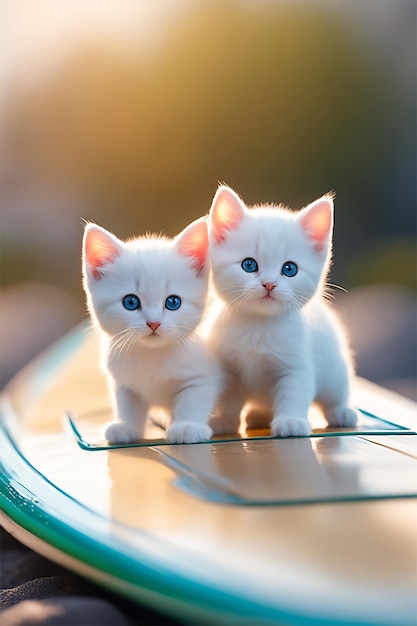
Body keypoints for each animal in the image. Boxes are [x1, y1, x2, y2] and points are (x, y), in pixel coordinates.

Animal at [80, 217, 221, 442]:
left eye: (173, 302)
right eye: (130, 302)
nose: (153, 323)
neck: (152, 355)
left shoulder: (203, 375)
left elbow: (194, 399)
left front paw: (187, 426)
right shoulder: (124, 380)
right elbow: (128, 403)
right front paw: (126, 427)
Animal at [206, 185, 356, 436]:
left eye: (289, 269)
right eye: (249, 265)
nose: (269, 284)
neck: (259, 326)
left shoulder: (296, 365)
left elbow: (295, 391)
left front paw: (290, 421)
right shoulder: (229, 367)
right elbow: (228, 396)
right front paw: (224, 420)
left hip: (335, 368)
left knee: (335, 392)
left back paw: (341, 412)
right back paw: (258, 415)